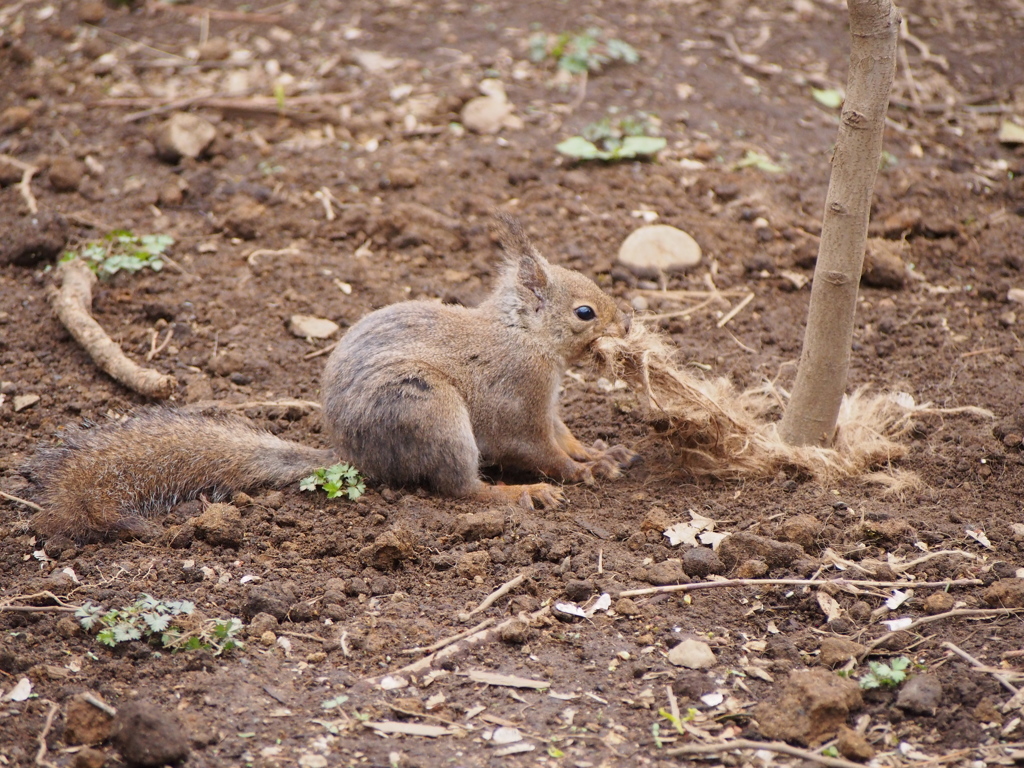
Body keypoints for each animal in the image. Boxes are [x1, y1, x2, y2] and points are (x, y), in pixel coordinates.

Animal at [25, 215, 638, 540]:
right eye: (585, 312)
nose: (627, 322)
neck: (527, 337)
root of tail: (355, 456)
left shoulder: (549, 405)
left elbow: (565, 436)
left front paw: (601, 453)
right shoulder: (520, 400)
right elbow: (541, 449)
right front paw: (576, 474)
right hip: (430, 412)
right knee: (459, 488)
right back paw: (519, 495)